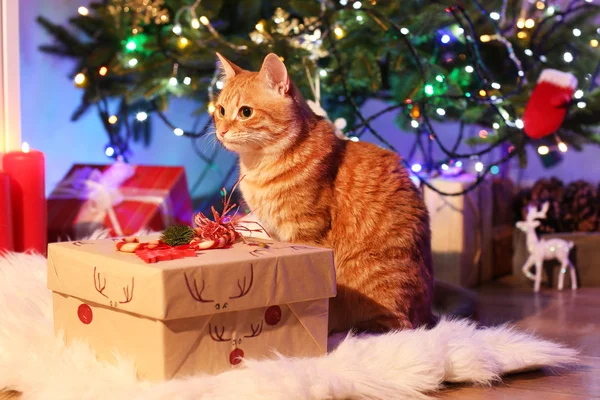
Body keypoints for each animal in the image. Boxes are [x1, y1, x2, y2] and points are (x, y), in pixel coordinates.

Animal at [213, 52, 434, 334]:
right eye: (220, 110)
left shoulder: (305, 231)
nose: (221, 131)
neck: (258, 167)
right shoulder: (273, 230)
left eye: (246, 112)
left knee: (395, 326)